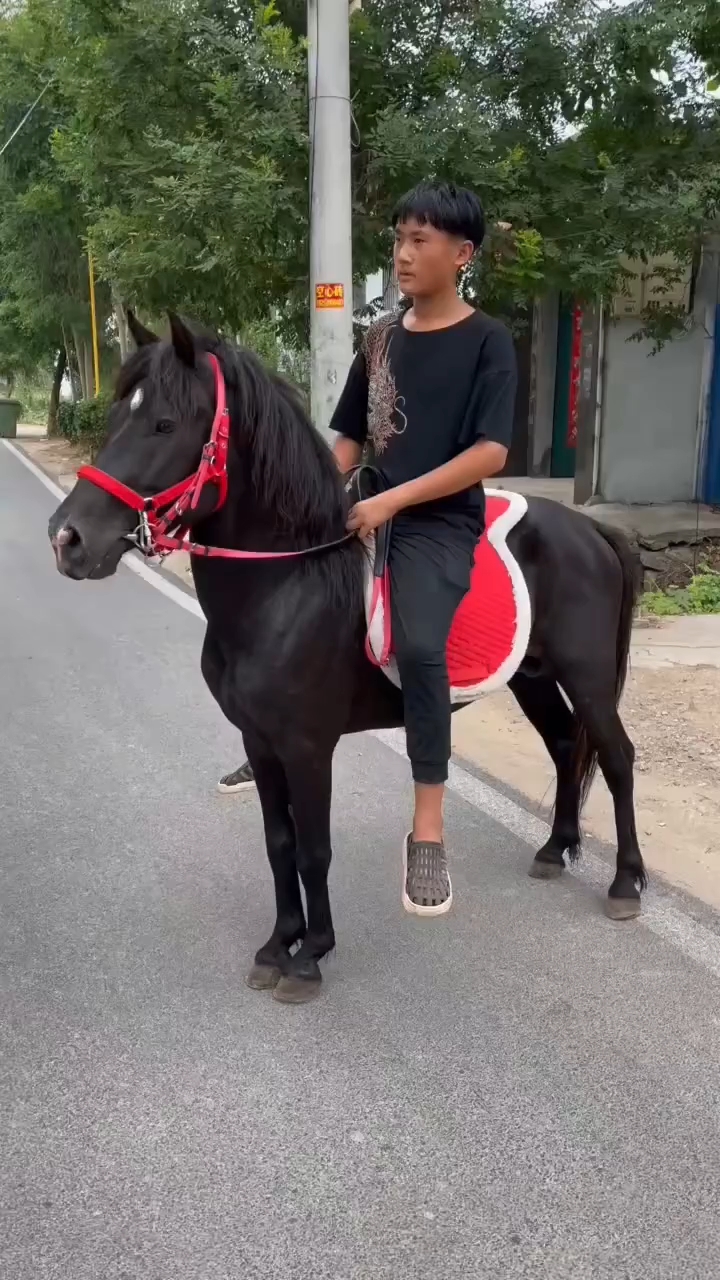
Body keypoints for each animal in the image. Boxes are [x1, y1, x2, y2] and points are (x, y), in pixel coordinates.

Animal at [47, 312, 646, 1004]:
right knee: (564, 746)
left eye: (164, 424)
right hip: (534, 678)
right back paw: (555, 849)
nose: (67, 539)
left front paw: (311, 955)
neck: (289, 584)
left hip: (588, 675)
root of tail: (589, 528)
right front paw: (278, 943)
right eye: (118, 414)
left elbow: (314, 849)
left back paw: (626, 883)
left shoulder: (308, 747)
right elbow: (279, 843)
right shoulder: (260, 741)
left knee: (617, 757)